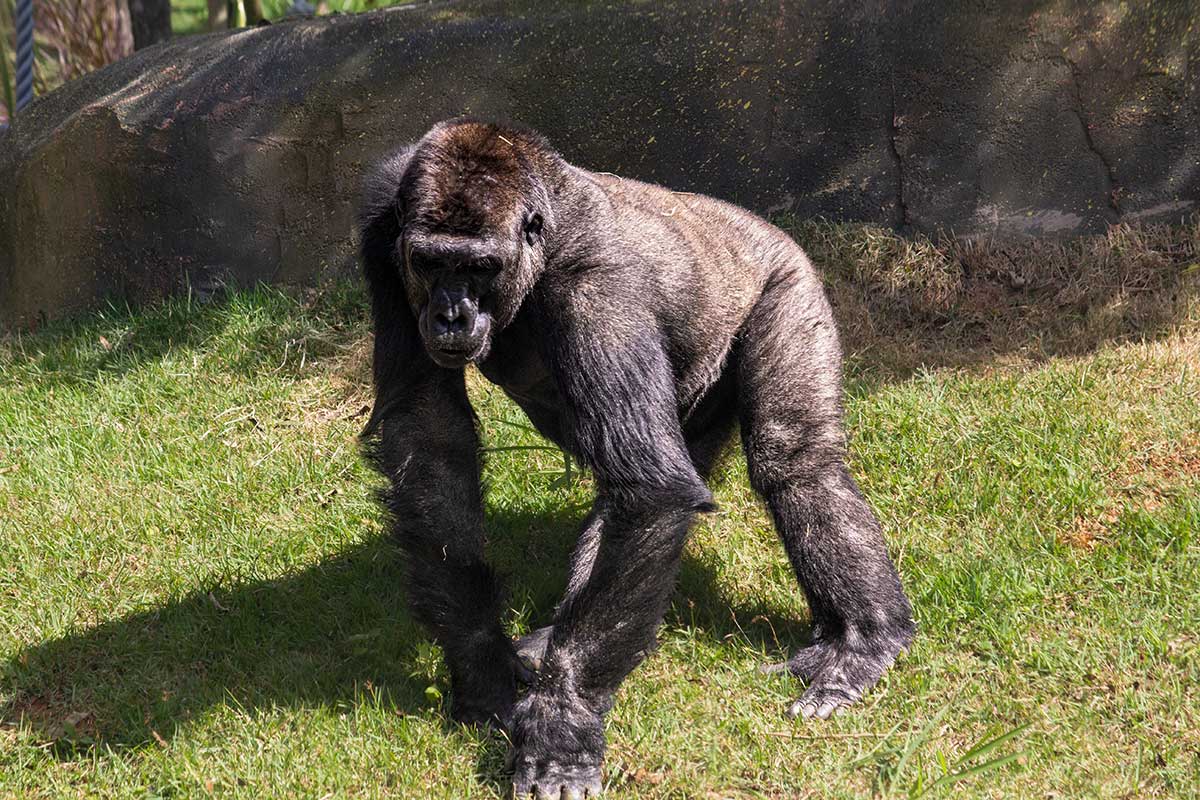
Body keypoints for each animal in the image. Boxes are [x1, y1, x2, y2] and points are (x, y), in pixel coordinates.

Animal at [355, 120, 907, 800]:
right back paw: (551, 639)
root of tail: (759, 220)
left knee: (794, 462)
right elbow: (429, 438)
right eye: (430, 263)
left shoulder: (598, 289)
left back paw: (864, 640)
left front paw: (562, 728)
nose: (450, 314)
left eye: (480, 267)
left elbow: (649, 494)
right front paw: (484, 669)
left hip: (787, 278)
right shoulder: (381, 231)